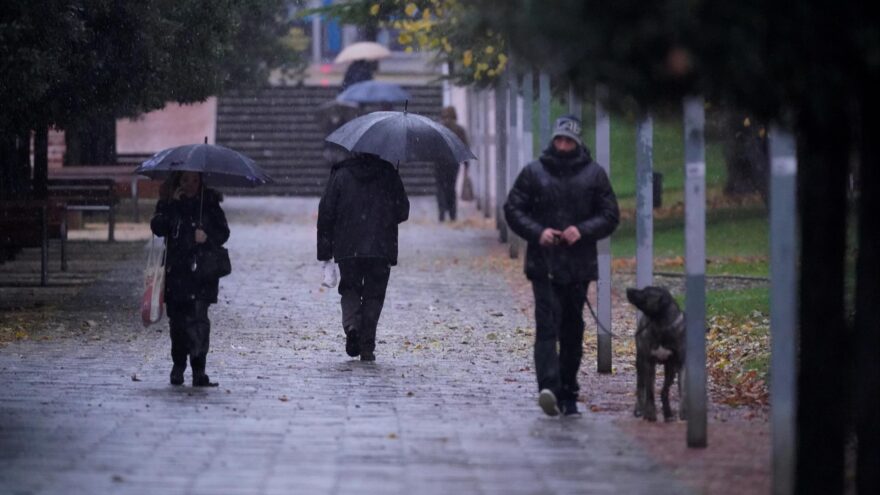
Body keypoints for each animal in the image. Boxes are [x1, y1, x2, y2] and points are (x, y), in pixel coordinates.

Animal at [624, 286, 688, 422]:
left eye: (645, 293)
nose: (628, 289)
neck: (661, 324)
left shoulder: (680, 364)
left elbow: (682, 390)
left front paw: (684, 412)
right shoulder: (648, 363)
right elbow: (649, 391)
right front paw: (650, 413)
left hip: (671, 369)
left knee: (664, 390)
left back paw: (668, 413)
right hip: (640, 363)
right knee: (641, 386)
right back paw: (639, 408)